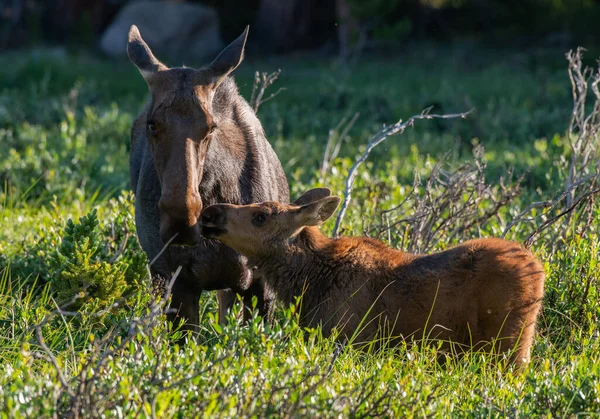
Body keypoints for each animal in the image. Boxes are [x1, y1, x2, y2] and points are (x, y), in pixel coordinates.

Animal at [200, 189, 544, 366]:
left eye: (260, 217)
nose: (209, 213)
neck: (308, 281)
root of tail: (539, 268)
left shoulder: (350, 339)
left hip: (511, 342)